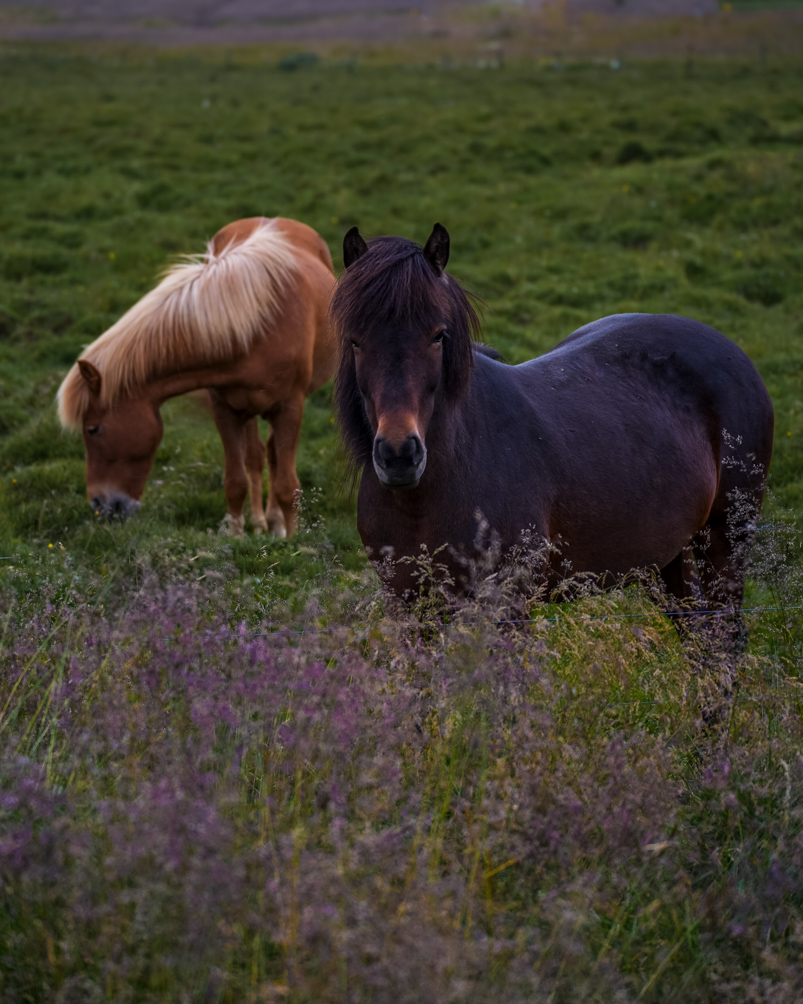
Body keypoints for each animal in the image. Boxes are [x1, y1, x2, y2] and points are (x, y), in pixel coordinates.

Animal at [58, 217, 337, 537]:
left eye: (93, 429)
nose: (99, 505)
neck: (254, 326)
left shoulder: (290, 407)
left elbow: (286, 484)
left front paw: (292, 541)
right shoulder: (225, 409)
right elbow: (235, 482)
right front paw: (237, 537)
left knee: (272, 457)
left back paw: (275, 523)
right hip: (248, 408)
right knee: (255, 457)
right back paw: (259, 521)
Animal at [332, 223, 774, 627]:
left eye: (439, 335)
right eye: (354, 340)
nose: (399, 455)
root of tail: (729, 348)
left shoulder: (507, 607)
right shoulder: (409, 608)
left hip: (725, 543)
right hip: (665, 556)